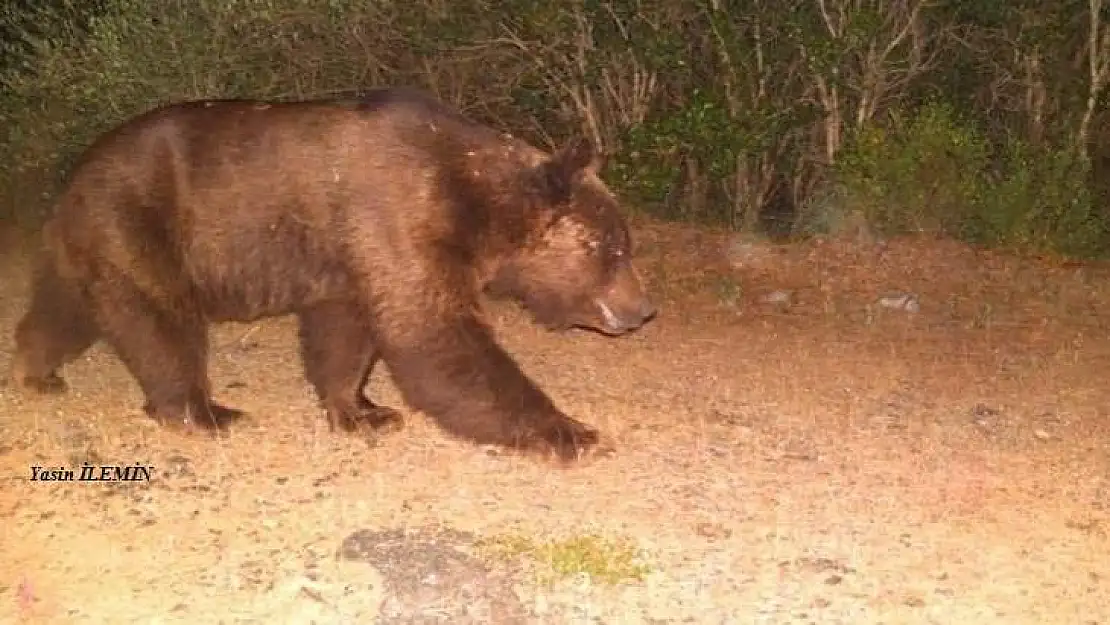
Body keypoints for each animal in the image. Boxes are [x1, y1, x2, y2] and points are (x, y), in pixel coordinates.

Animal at [10, 85, 648, 461]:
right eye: (612, 247)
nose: (642, 310)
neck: (475, 203)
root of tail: (72, 179)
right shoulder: (398, 215)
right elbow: (437, 338)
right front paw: (572, 431)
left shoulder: (351, 255)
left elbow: (345, 334)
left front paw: (365, 411)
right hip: (140, 221)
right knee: (160, 322)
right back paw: (203, 411)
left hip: (92, 242)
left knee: (67, 309)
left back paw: (35, 371)